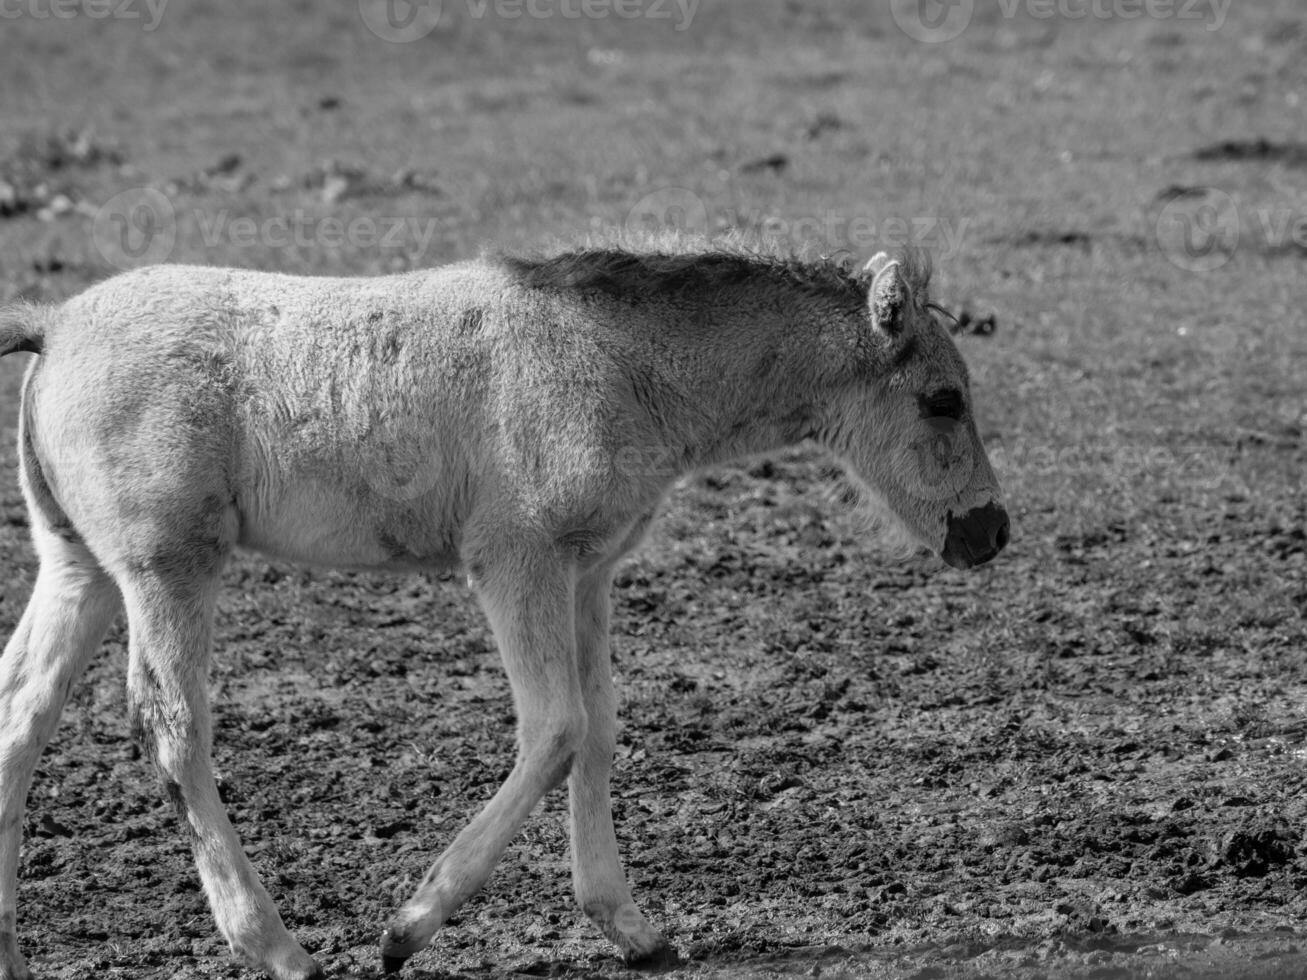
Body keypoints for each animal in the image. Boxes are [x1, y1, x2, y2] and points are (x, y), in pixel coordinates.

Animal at [0, 241, 1009, 977]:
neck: (615, 360)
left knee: (21, 716)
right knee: (170, 730)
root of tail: (54, 322)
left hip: (80, 568)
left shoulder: (586, 573)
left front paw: (629, 927)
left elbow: (597, 727)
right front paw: (406, 928)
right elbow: (555, 727)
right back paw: (276, 946)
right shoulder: (514, 562)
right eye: (941, 399)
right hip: (167, 569)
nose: (990, 531)